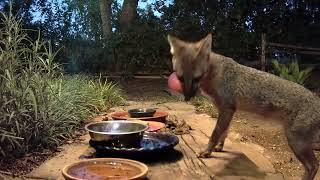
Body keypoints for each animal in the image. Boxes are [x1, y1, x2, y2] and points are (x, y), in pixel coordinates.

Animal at [168, 33, 320, 179]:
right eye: (180, 78)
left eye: (197, 78)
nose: (187, 98)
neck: (215, 72)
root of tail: (316, 99)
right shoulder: (225, 110)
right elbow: (224, 132)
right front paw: (219, 147)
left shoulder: (227, 109)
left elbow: (215, 133)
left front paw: (207, 151)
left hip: (296, 142)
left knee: (313, 166)